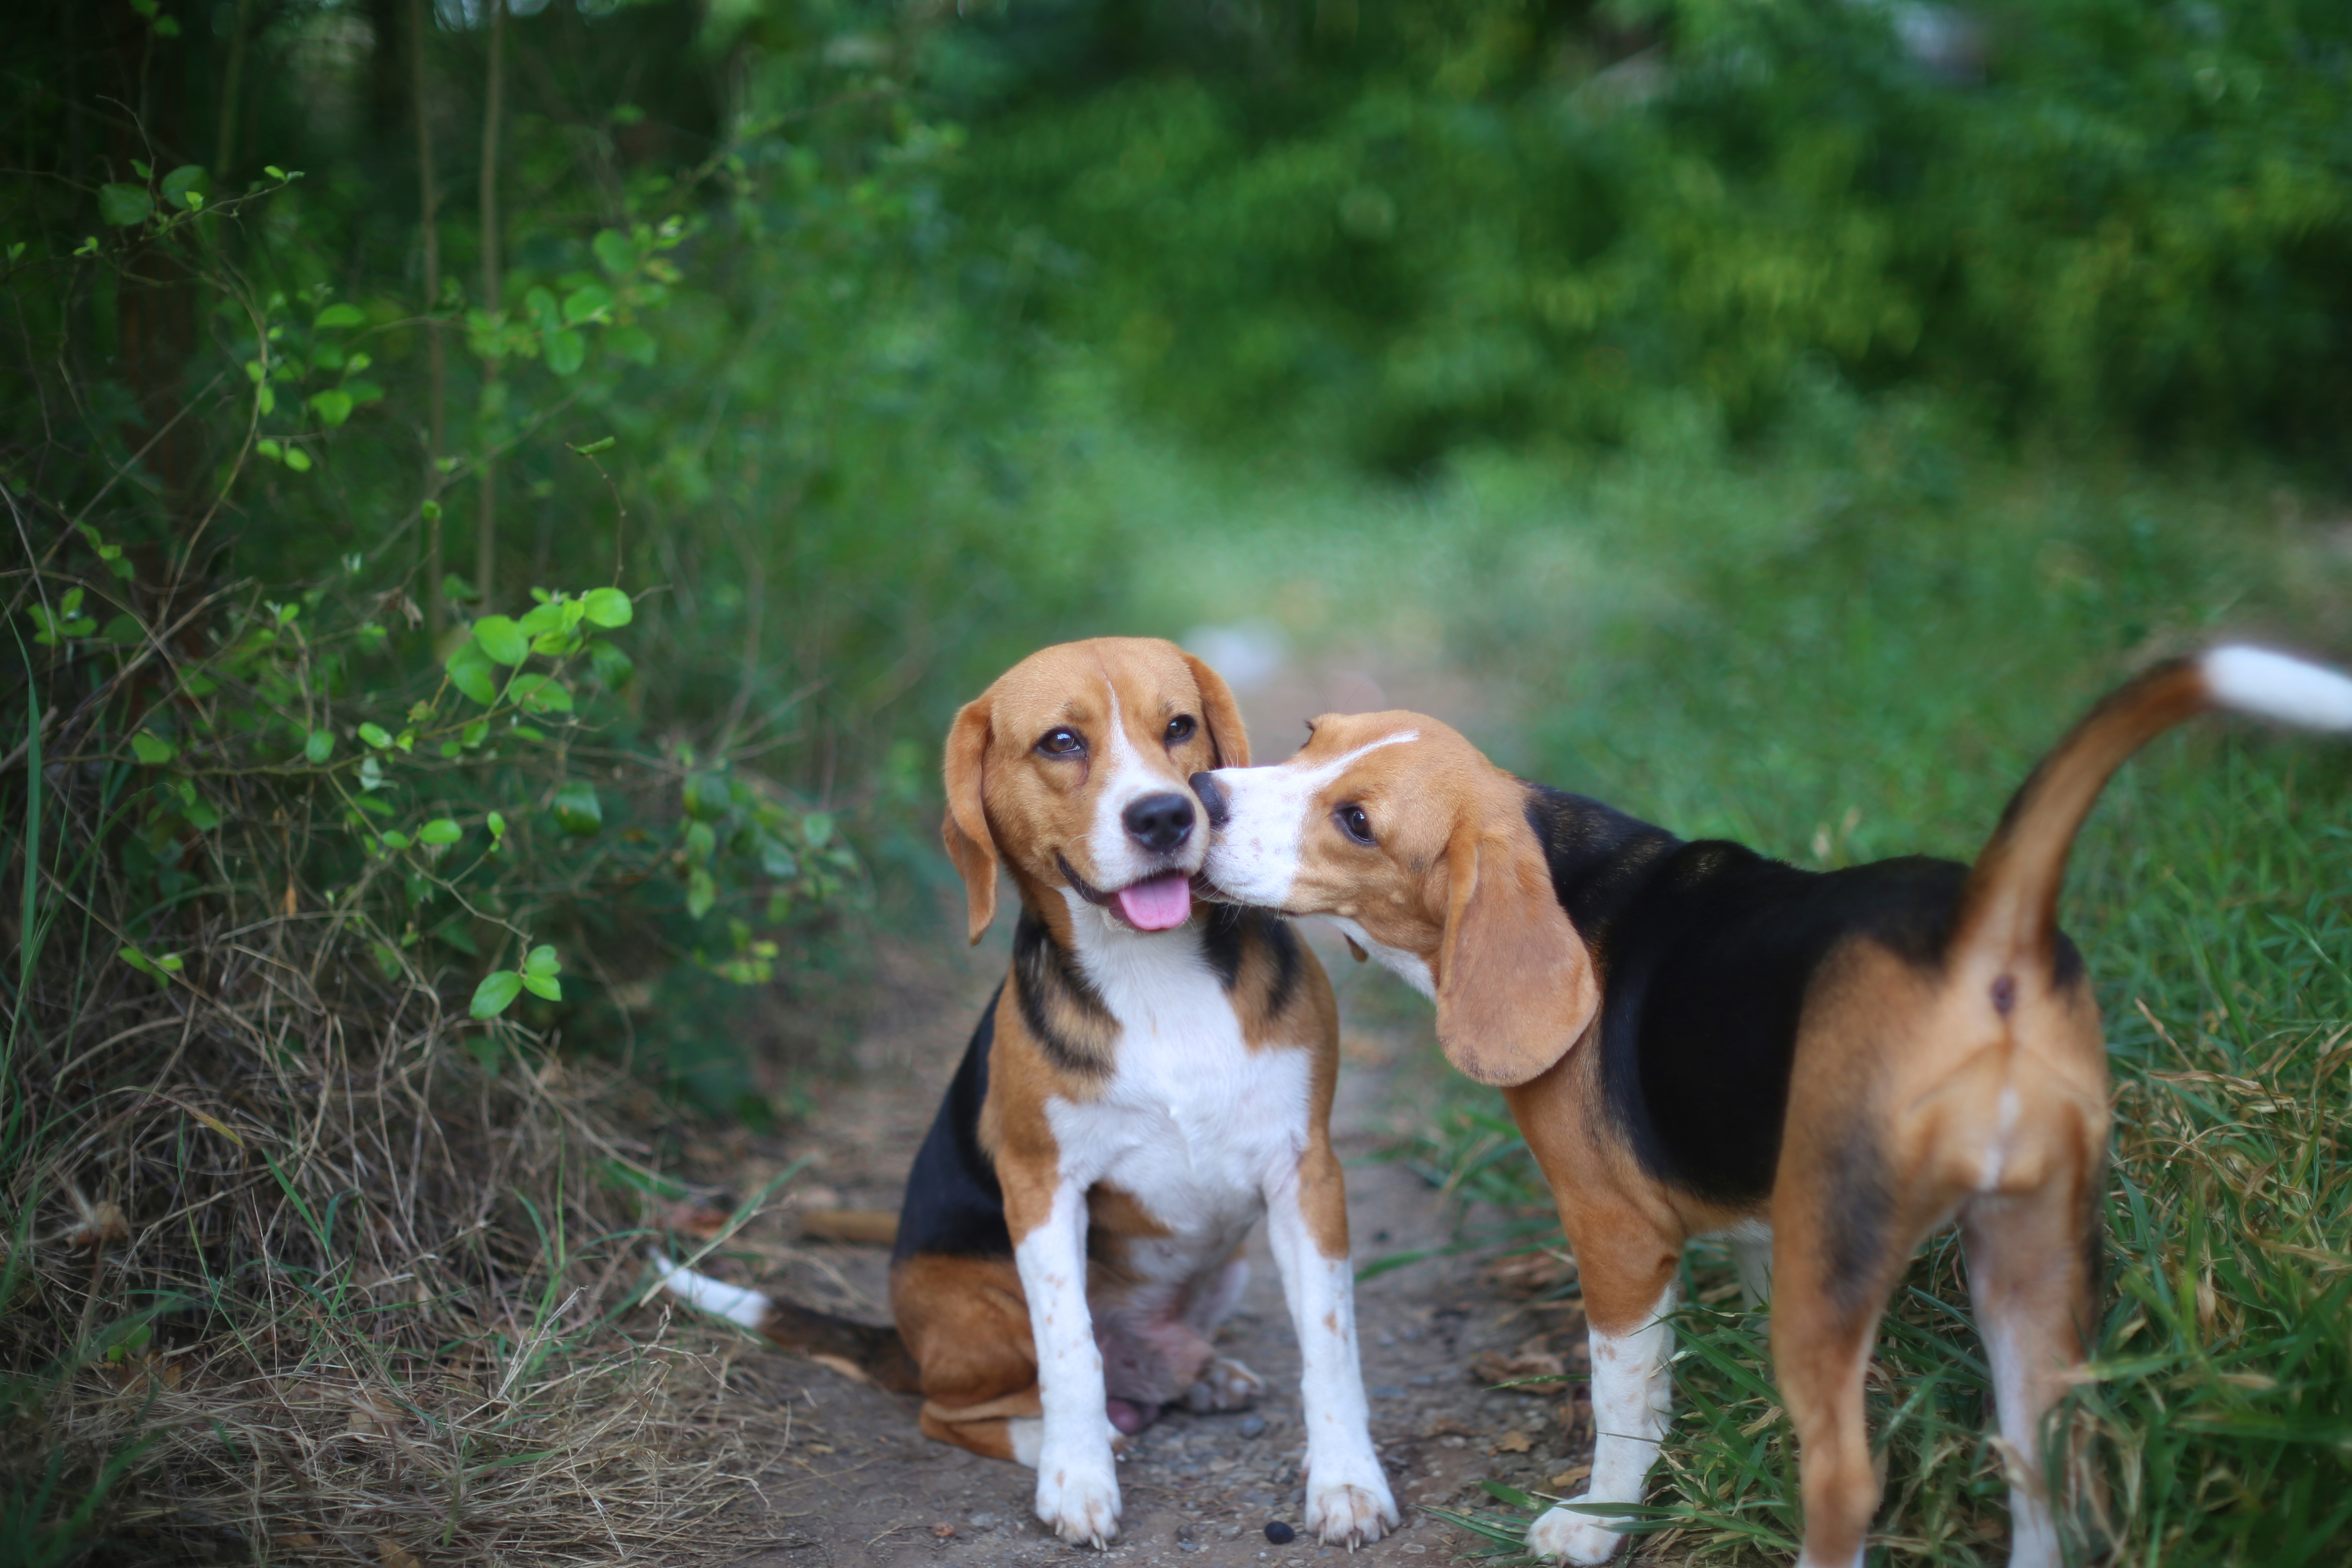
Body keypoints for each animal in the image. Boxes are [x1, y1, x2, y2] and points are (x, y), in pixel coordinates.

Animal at [663, 644, 1392, 1551]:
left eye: (1179, 725)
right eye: (1060, 742)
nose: (1165, 816)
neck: (1153, 972)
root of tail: (905, 1343)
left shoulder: (1306, 1172)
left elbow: (1330, 1343)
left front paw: (1346, 1482)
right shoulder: (1041, 1185)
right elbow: (1070, 1349)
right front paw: (1076, 1477)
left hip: (1224, 1268)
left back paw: (1199, 1375)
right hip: (980, 1309)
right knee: (953, 1410)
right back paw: (1057, 1434)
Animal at [1194, 644, 2352, 1561]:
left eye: (1356, 822)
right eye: (1308, 736)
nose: (1201, 794)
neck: (1569, 882)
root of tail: (1983, 923)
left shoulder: (1617, 1236)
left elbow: (1626, 1399)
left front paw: (1599, 1523)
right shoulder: (1758, 1219)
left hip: (1845, 1249)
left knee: (1845, 1481)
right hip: (2033, 1259)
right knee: (2043, 1466)